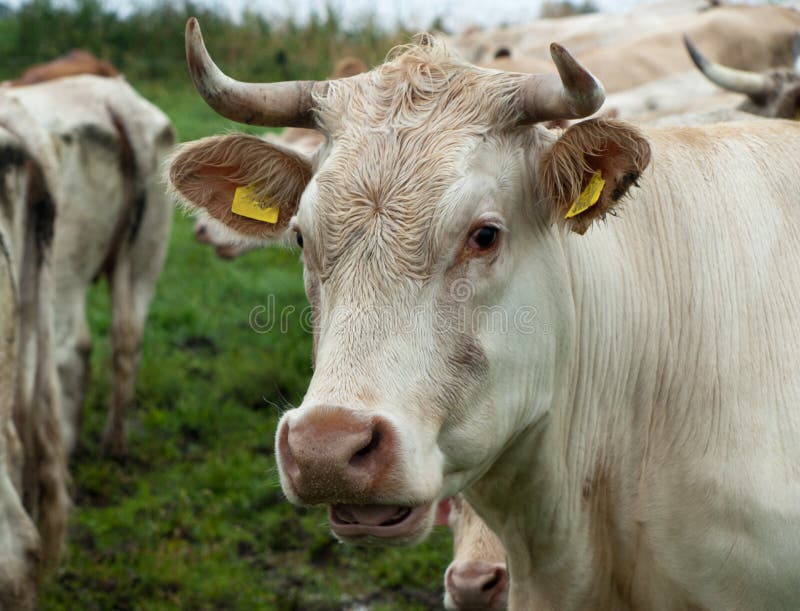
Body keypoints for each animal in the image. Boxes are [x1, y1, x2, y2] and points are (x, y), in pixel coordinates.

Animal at [6, 75, 175, 457]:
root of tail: (113, 101)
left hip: (62, 273)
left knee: (72, 347)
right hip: (146, 261)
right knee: (129, 338)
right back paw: (114, 442)